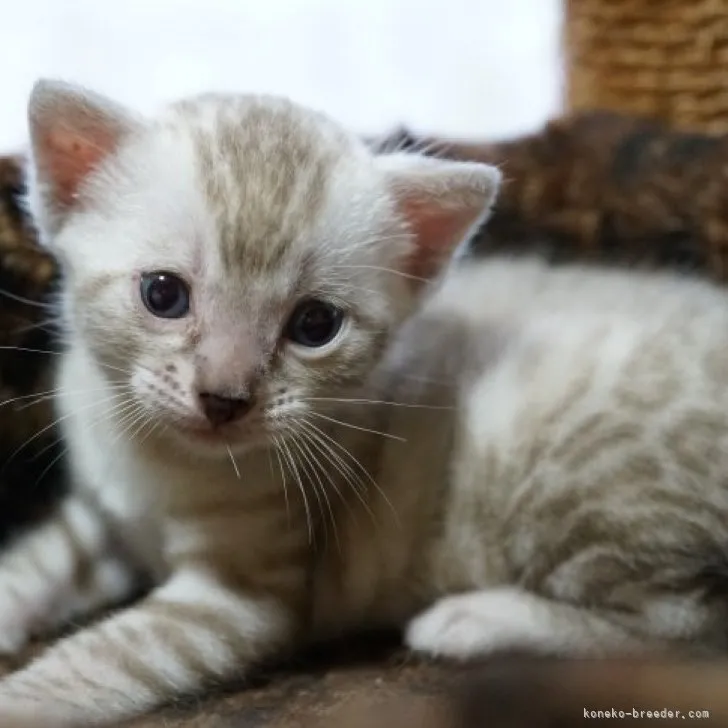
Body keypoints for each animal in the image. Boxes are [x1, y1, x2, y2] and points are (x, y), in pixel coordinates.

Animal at [1, 82, 728, 724]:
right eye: (162, 294)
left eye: (316, 324)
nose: (224, 398)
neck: (153, 462)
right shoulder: (100, 516)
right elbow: (32, 566)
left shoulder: (241, 598)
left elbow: (110, 656)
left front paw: (21, 699)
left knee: (686, 632)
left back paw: (475, 620)